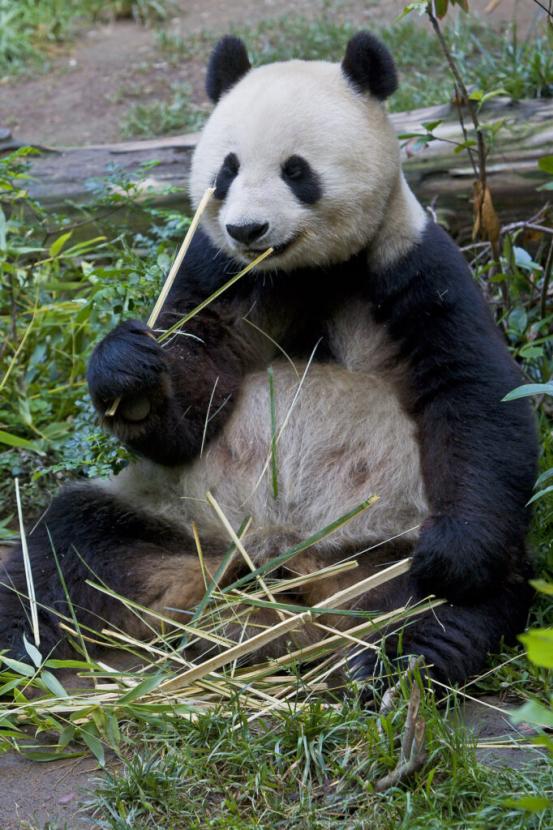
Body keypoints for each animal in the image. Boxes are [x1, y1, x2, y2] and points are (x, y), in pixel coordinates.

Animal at [0, 33, 538, 685]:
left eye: (296, 170)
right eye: (226, 170)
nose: (246, 229)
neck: (301, 270)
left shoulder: (414, 266)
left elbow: (475, 392)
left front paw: (451, 557)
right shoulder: (217, 275)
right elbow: (192, 398)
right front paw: (131, 376)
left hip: (383, 534)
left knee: (464, 596)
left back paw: (404, 657)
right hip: (181, 517)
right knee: (65, 546)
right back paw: (23, 644)